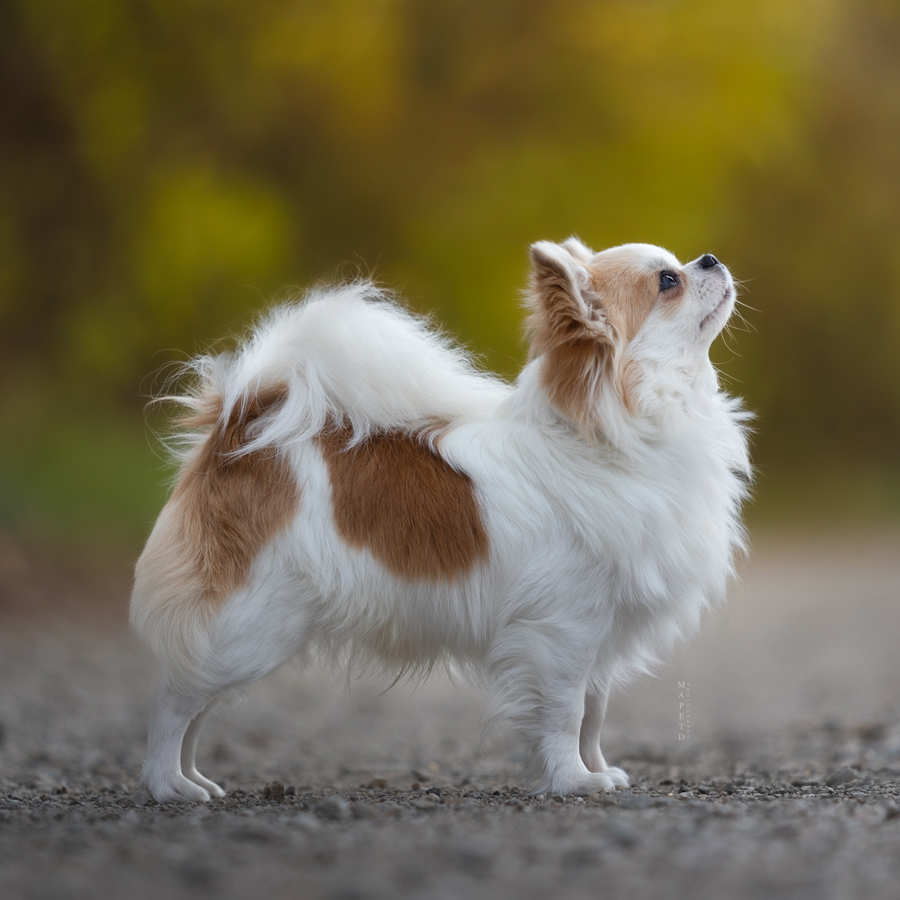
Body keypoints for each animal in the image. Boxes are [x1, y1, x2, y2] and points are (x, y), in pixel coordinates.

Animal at [132, 237, 752, 800]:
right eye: (668, 281)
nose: (711, 259)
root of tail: (239, 425)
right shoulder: (561, 632)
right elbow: (565, 715)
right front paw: (573, 782)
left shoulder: (595, 635)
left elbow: (593, 715)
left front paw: (597, 771)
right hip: (249, 626)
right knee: (173, 703)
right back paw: (170, 787)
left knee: (195, 709)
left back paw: (198, 780)